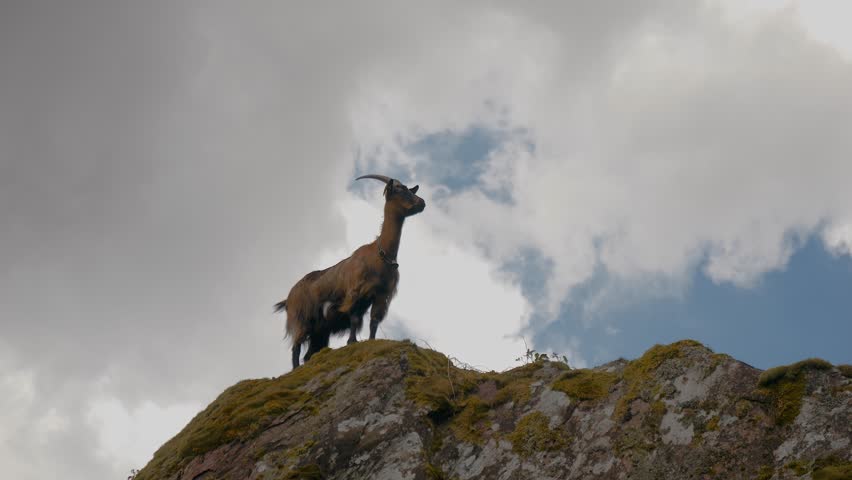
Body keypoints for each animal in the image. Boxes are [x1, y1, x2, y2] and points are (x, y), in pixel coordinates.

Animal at [275, 174, 426, 368]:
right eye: (399, 190)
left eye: (409, 189)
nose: (422, 202)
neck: (380, 255)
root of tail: (287, 299)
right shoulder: (356, 292)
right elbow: (353, 318)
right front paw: (352, 341)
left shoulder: (381, 296)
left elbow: (374, 321)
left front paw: (371, 341)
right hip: (300, 319)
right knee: (296, 347)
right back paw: (295, 368)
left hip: (320, 331)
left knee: (309, 353)